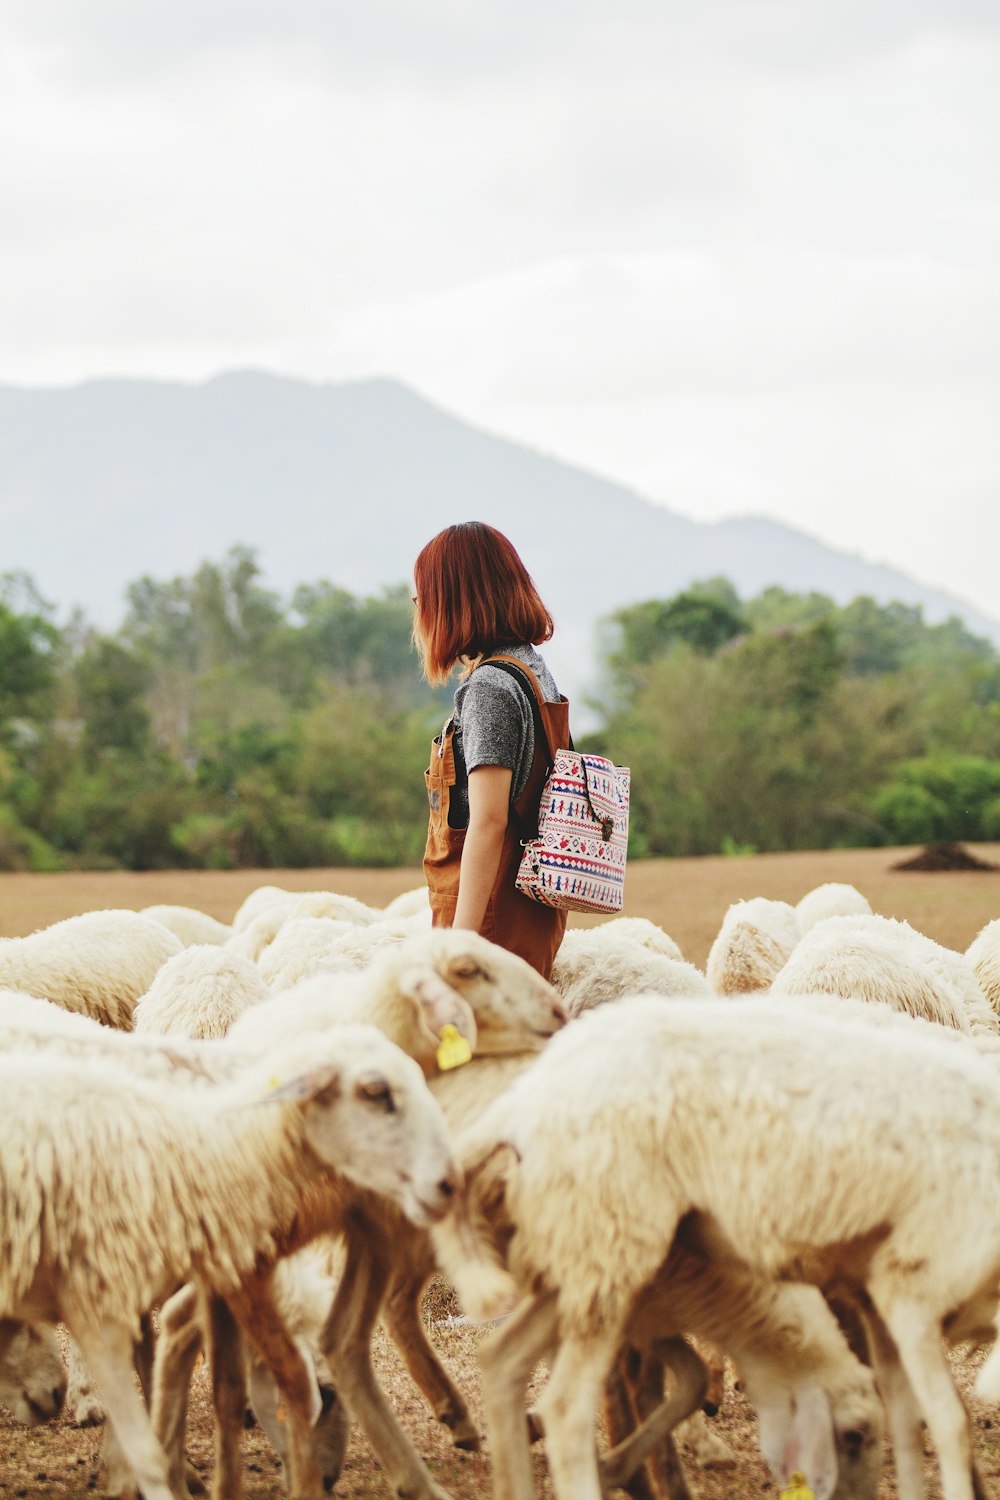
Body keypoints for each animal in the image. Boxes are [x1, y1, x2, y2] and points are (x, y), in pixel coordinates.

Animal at [437, 996, 1000, 1500]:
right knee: (565, 1409)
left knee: (504, 1359)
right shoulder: (913, 1287)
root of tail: (522, 1103)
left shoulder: (875, 1297)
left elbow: (906, 1417)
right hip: (609, 1246)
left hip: (587, 1256)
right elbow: (949, 1421)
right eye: (853, 1436)